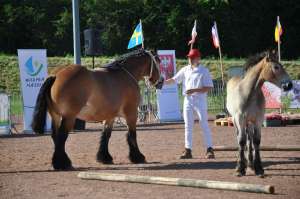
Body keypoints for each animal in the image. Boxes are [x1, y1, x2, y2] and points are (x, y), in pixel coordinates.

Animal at [32, 49, 162, 169]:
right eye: (158, 61)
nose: (161, 81)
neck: (125, 75)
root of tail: (56, 75)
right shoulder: (131, 113)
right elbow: (132, 135)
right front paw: (138, 157)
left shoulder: (110, 116)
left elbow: (106, 135)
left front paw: (104, 157)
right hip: (69, 117)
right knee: (61, 136)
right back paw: (62, 163)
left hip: (55, 116)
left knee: (55, 136)